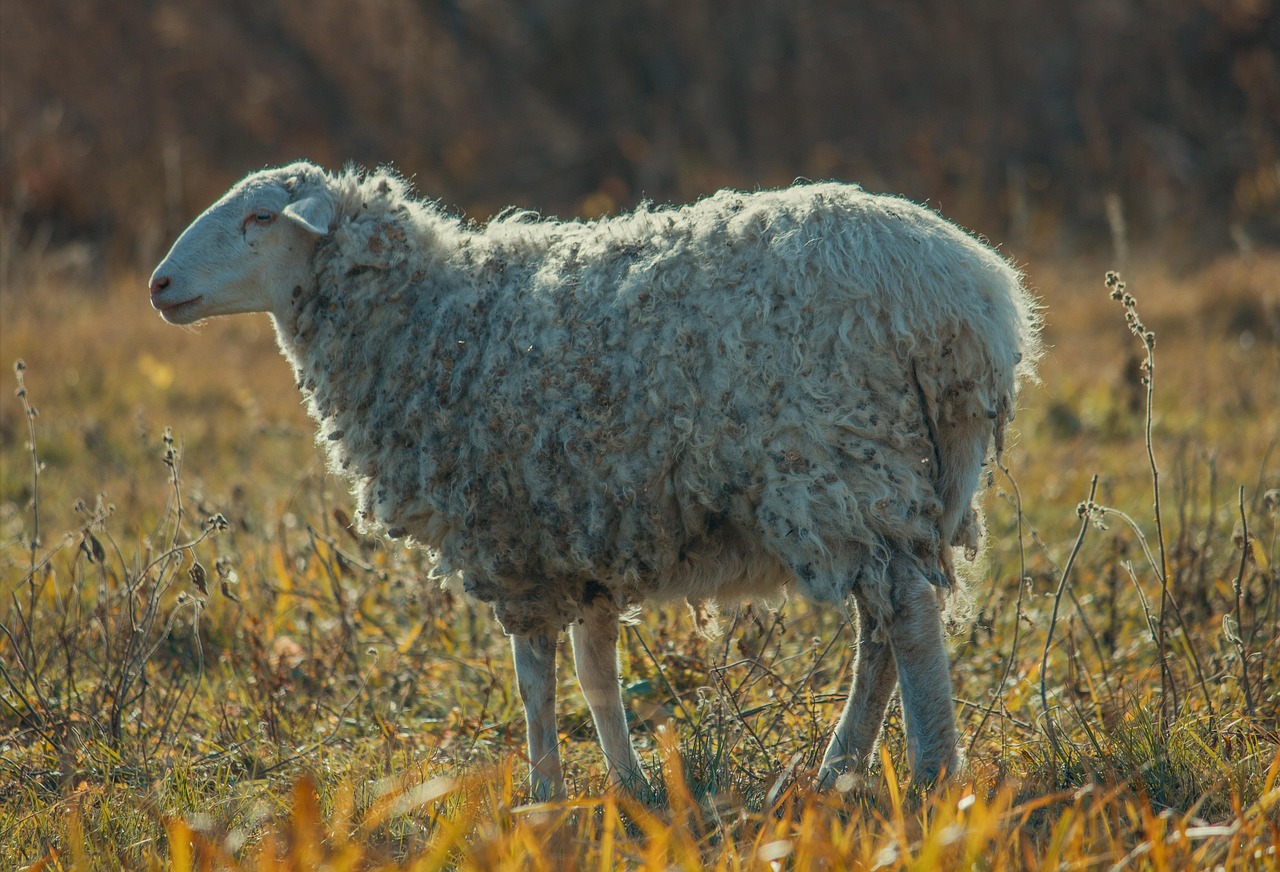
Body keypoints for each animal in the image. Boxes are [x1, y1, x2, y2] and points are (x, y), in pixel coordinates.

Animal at [149, 161, 1041, 800]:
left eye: (262, 218)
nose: (159, 285)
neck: (428, 318)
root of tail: (973, 301)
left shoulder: (511, 539)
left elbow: (536, 681)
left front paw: (543, 794)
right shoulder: (584, 534)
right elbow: (597, 674)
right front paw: (629, 785)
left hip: (842, 461)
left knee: (907, 616)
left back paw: (928, 773)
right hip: (896, 478)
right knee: (883, 628)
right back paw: (839, 773)